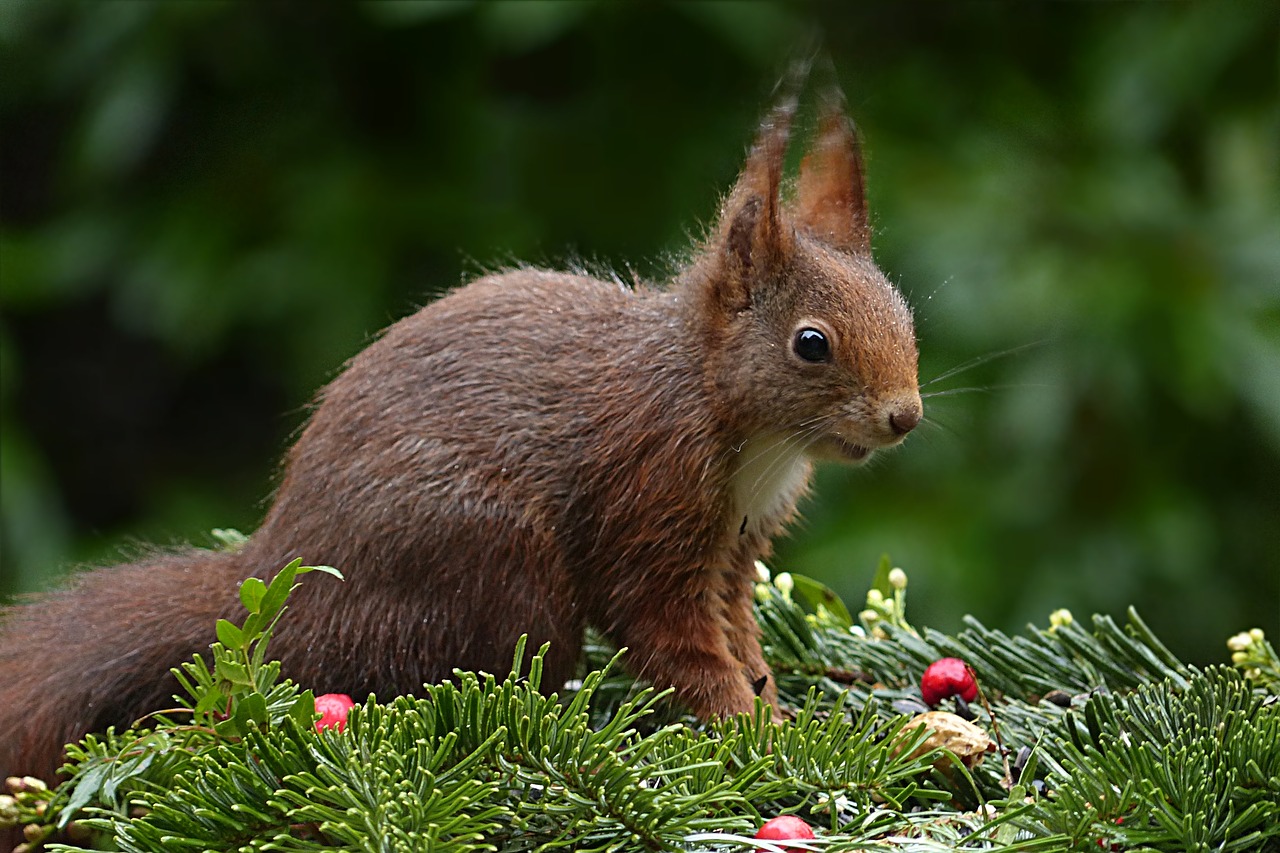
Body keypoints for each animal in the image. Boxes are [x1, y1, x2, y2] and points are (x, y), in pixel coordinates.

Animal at [0, 76, 921, 778]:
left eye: (904, 312)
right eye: (811, 343)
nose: (904, 415)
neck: (737, 419)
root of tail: (280, 575)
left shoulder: (736, 545)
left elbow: (740, 632)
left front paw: (782, 707)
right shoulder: (647, 498)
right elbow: (674, 639)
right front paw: (749, 730)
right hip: (491, 559)